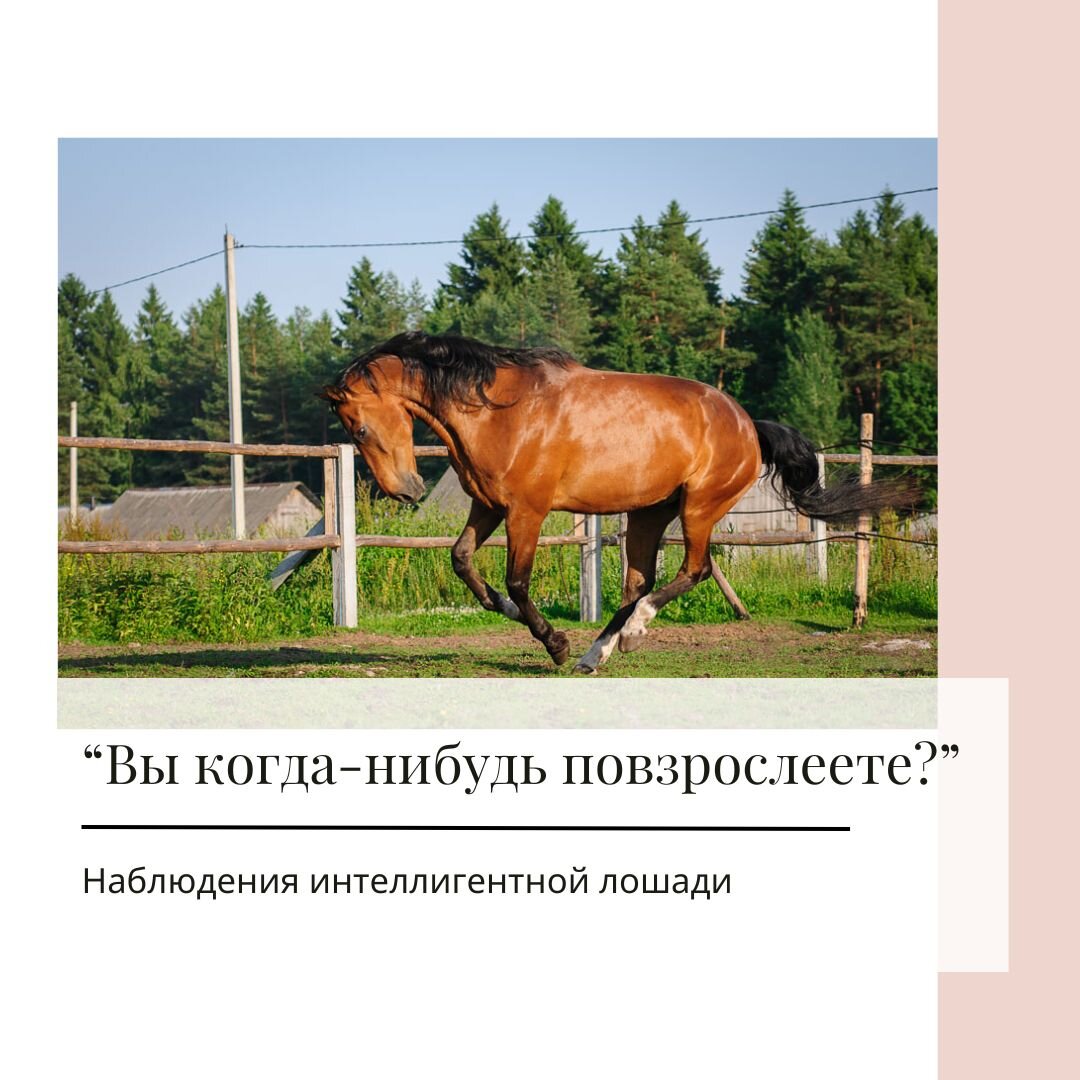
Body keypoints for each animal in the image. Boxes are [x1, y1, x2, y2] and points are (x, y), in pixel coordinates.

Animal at [321, 331, 909, 673]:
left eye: (361, 426)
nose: (408, 490)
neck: (499, 411)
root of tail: (748, 424)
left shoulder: (528, 512)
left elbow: (518, 581)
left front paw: (554, 643)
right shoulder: (488, 506)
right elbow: (462, 560)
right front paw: (515, 616)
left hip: (698, 508)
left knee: (691, 571)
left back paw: (627, 636)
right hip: (649, 511)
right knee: (638, 582)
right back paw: (597, 652)